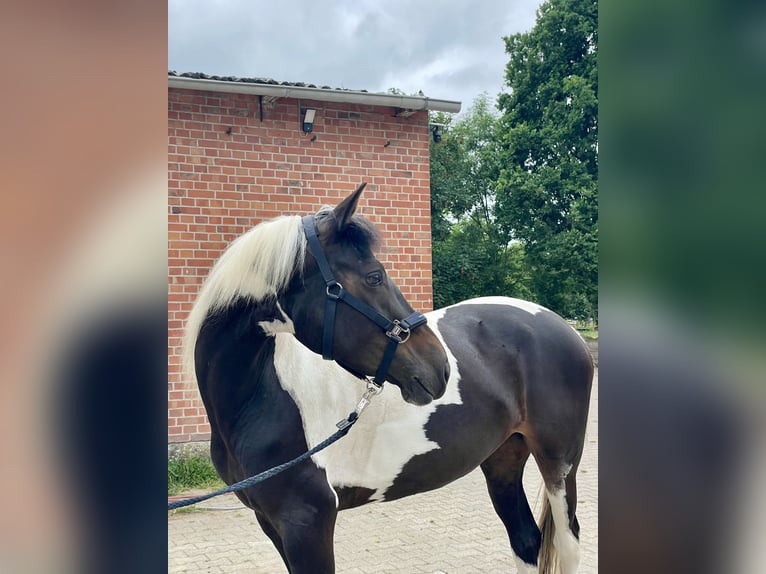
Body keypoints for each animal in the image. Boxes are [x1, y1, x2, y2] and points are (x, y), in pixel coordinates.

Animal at [183, 183, 594, 574]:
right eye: (374, 276)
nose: (441, 368)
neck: (258, 399)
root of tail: (561, 325)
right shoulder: (270, 522)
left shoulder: (307, 522)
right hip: (503, 459)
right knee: (525, 541)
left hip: (559, 463)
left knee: (568, 545)